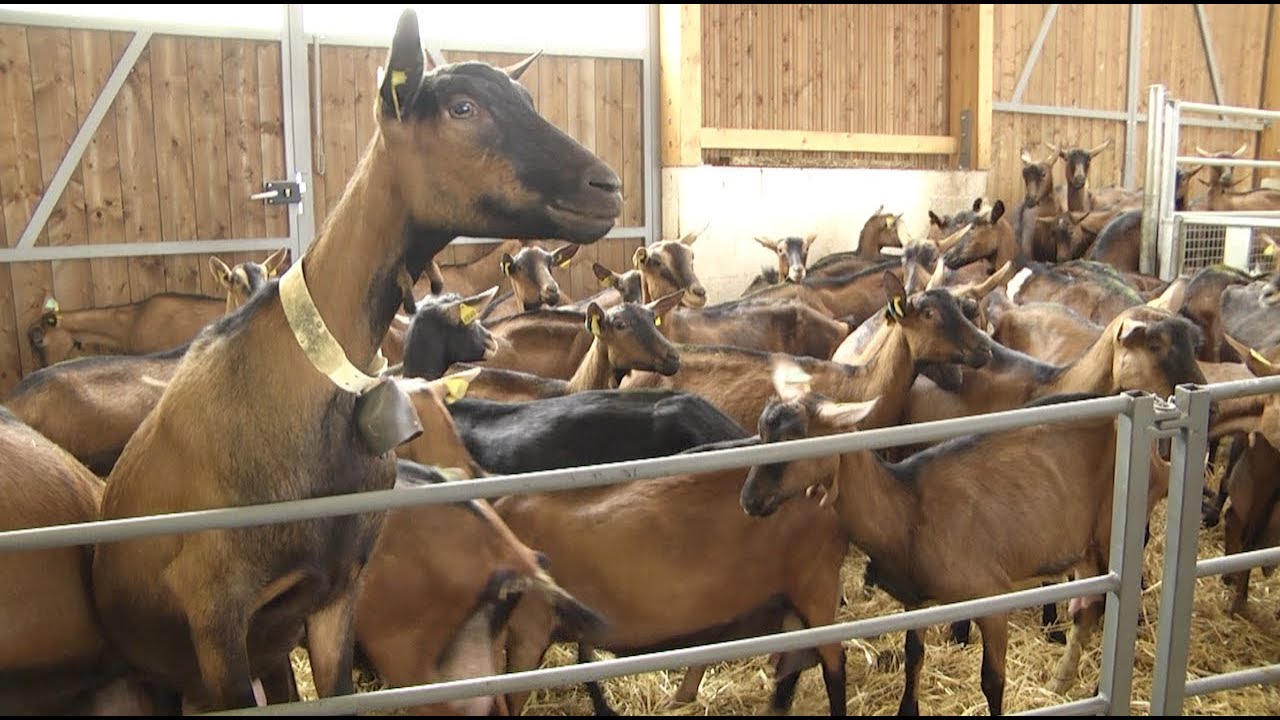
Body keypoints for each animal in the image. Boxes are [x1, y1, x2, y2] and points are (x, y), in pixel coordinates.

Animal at [740, 361, 1171, 715]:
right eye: (762, 434)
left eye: (798, 439)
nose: (749, 499)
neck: (909, 509)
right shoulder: (918, 602)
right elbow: (914, 656)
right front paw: (907, 709)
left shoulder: (991, 597)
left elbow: (992, 681)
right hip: (1083, 544)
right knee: (1088, 606)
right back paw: (1062, 680)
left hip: (1113, 528)